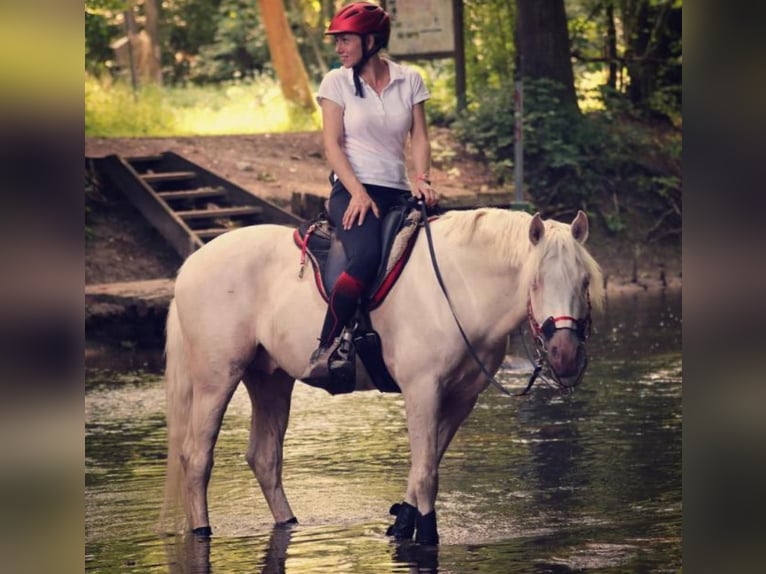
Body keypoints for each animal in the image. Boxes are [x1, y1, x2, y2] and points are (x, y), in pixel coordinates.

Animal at [162, 207, 608, 544]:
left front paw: (402, 523)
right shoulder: (422, 390)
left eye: (585, 281)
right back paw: (202, 531)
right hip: (217, 378)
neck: (458, 290)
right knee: (197, 456)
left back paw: (288, 522)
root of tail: (190, 266)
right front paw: (426, 535)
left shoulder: (461, 398)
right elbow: (426, 472)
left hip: (270, 378)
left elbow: (424, 462)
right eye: (536, 281)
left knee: (264, 457)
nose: (565, 355)